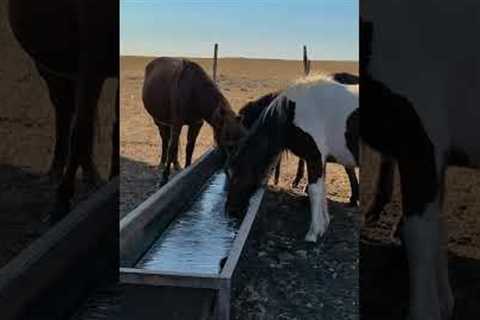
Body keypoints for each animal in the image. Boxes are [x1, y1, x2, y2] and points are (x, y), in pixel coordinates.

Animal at [8, 0, 119, 222]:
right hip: (50, 68)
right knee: (66, 114)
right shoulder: (91, 59)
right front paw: (61, 203)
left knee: (76, 115)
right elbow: (79, 132)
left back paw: (92, 177)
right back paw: (57, 174)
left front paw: (113, 179)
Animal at [142, 56, 246, 184]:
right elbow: (171, 148)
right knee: (165, 140)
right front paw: (164, 178)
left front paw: (187, 168)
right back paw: (162, 163)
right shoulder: (177, 123)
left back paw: (176, 165)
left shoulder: (196, 124)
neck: (193, 92)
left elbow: (190, 147)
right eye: (229, 145)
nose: (235, 175)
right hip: (158, 120)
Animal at [227, 74, 358, 240]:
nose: (230, 211)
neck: (291, 112)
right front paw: (323, 227)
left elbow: (314, 191)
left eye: (237, 178)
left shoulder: (314, 157)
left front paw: (313, 233)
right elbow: (322, 189)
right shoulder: (320, 160)